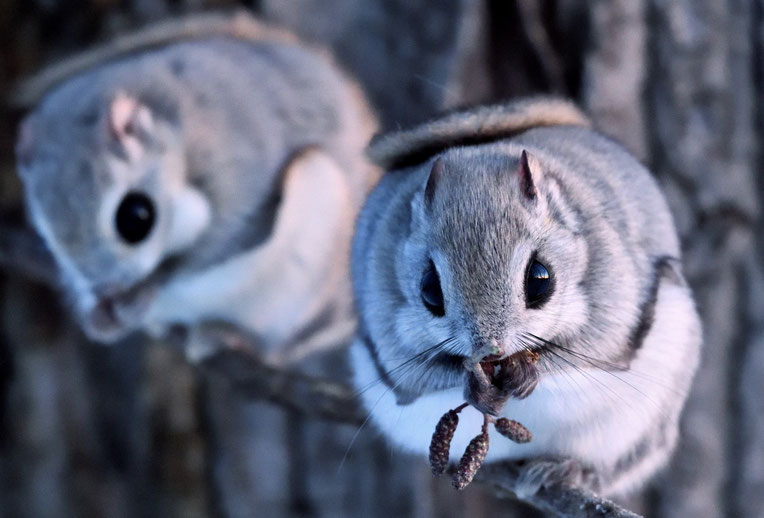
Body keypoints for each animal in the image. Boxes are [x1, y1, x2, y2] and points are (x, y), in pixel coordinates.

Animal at [350, 97, 700, 500]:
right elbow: (413, 374)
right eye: (429, 291)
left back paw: (570, 471)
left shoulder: (615, 295)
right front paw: (473, 385)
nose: (490, 348)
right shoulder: (384, 314)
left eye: (540, 280)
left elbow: (590, 350)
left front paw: (527, 373)